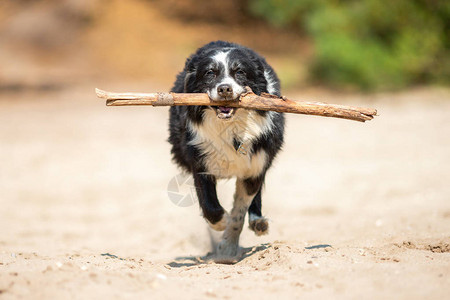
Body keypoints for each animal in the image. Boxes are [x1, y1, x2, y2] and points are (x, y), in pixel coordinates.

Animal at [169, 40, 284, 258]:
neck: (230, 128)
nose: (224, 89)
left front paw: (228, 249)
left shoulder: (255, 166)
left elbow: (239, 212)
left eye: (239, 72)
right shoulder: (200, 161)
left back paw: (258, 221)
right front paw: (221, 222)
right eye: (209, 73)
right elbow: (210, 205)